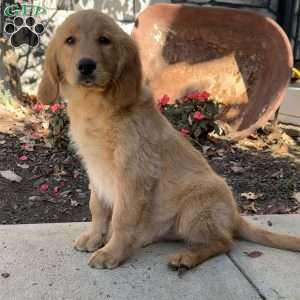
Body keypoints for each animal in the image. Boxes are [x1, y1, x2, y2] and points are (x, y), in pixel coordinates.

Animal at [38, 9, 300, 270]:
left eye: (104, 40)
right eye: (70, 40)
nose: (86, 65)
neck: (97, 105)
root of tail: (235, 215)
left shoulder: (134, 173)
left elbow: (122, 218)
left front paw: (112, 252)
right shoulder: (95, 170)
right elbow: (98, 208)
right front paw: (94, 238)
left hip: (197, 206)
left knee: (224, 242)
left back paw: (186, 257)